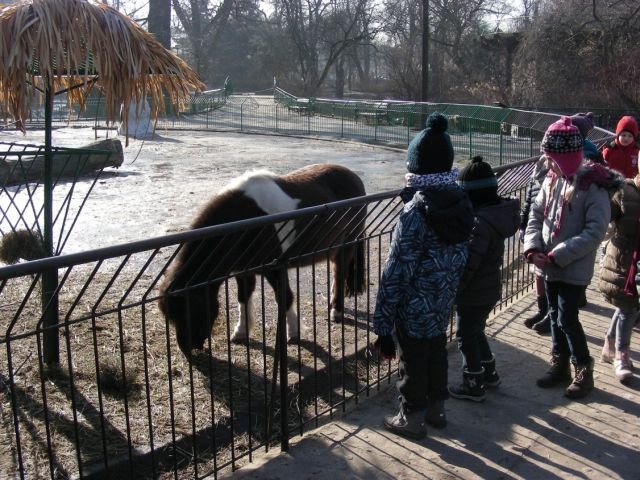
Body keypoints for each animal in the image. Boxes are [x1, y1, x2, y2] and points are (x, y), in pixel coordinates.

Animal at [158, 163, 367, 357]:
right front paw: (240, 332)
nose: (188, 349)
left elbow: (285, 296)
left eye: (191, 311)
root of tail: (355, 178)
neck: (245, 220)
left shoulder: (275, 268)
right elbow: (243, 298)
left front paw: (293, 332)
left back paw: (336, 311)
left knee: (340, 273)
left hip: (347, 244)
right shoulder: (243, 271)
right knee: (337, 272)